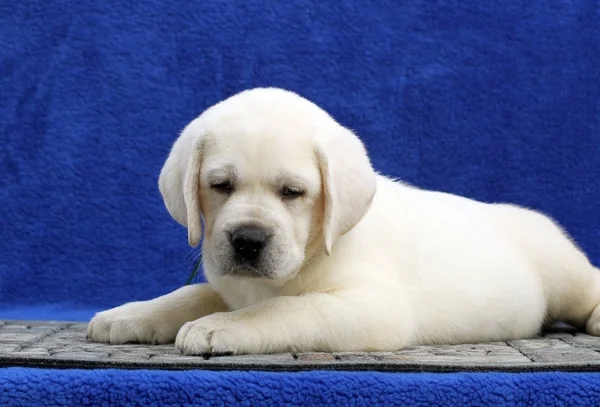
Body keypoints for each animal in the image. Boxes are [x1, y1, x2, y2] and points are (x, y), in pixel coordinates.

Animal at [85, 87, 600, 356]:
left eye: (293, 193)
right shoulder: (229, 283)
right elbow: (189, 294)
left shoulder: (372, 307)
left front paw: (219, 327)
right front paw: (129, 314)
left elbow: (286, 309)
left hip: (562, 271)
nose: (248, 239)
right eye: (220, 185)